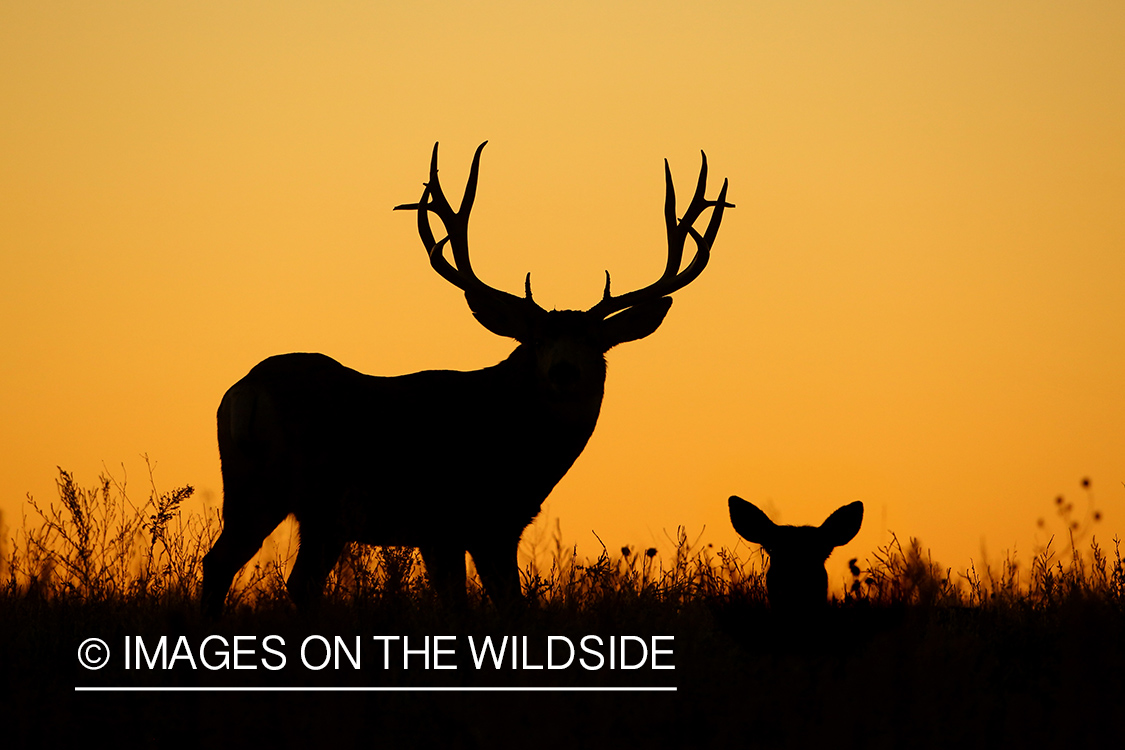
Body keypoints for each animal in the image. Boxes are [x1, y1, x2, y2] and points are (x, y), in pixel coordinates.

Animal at [200, 142, 732, 616]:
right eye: (536, 339)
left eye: (595, 343)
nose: (563, 370)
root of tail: (248, 390)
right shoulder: (456, 518)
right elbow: (472, 607)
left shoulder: (487, 526)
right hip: (319, 496)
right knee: (278, 576)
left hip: (261, 491)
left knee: (232, 566)